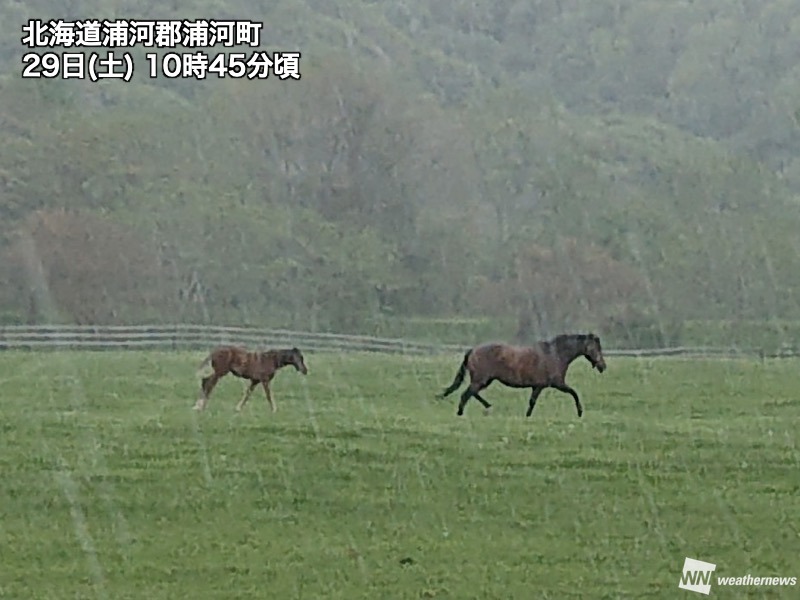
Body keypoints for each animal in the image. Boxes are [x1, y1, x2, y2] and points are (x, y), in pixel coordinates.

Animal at [438, 332, 608, 418]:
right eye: (597, 347)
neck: (555, 355)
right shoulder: (557, 384)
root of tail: (472, 350)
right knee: (467, 394)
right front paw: (580, 412)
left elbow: (532, 402)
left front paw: (527, 416)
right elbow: (574, 393)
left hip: (485, 380)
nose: (603, 366)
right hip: (481, 380)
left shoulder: (538, 386)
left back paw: (486, 406)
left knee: (472, 393)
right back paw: (461, 413)